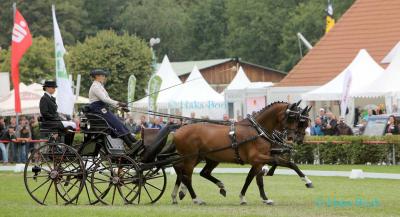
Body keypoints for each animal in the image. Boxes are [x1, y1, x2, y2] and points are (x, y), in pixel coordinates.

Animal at [170, 101, 308, 204]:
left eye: (300, 120)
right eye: (292, 117)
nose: (292, 138)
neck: (258, 131)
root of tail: (177, 130)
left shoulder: (258, 161)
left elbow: (253, 178)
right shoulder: (257, 158)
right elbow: (275, 163)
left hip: (207, 158)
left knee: (194, 172)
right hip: (191, 158)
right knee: (187, 176)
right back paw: (195, 199)